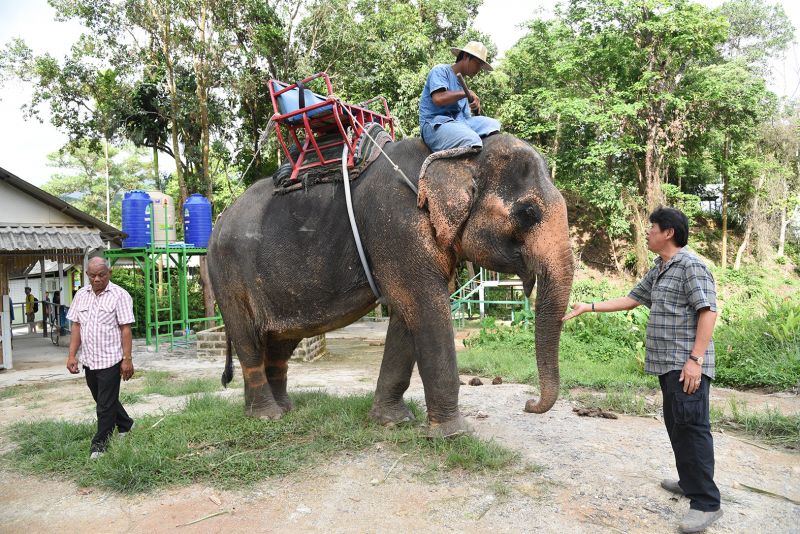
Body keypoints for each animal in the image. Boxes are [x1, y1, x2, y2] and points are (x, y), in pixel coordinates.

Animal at [209, 132, 576, 438]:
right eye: (528, 213)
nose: (529, 404)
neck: (457, 153)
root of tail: (219, 219)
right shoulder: (397, 225)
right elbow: (425, 308)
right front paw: (453, 435)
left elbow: (406, 316)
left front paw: (392, 423)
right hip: (228, 274)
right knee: (248, 338)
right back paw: (266, 417)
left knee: (281, 340)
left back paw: (284, 410)